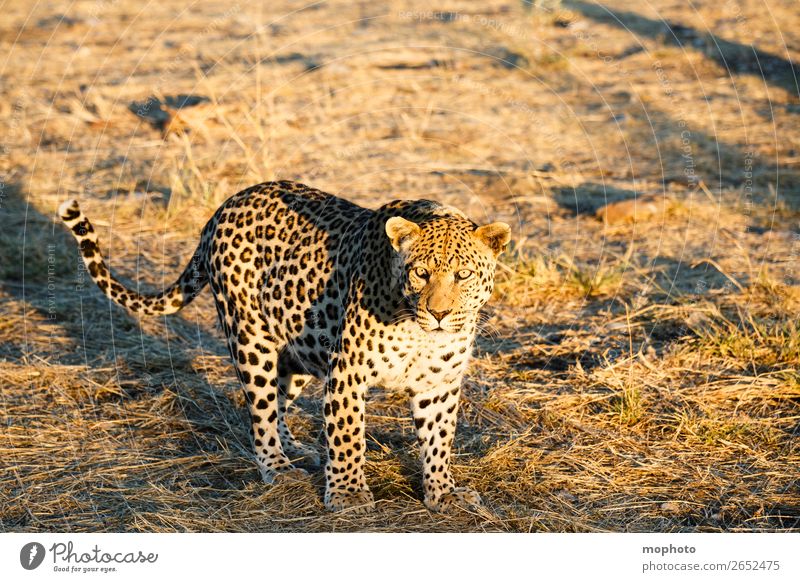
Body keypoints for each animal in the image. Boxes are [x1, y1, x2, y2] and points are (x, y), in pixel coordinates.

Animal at [61, 182, 512, 516]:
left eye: (463, 274)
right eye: (420, 272)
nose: (439, 313)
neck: (418, 329)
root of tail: (223, 208)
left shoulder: (439, 384)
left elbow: (438, 440)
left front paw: (443, 493)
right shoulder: (347, 372)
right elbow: (348, 434)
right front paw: (347, 493)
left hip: (297, 349)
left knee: (277, 402)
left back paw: (297, 449)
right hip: (251, 340)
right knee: (259, 413)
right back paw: (278, 467)